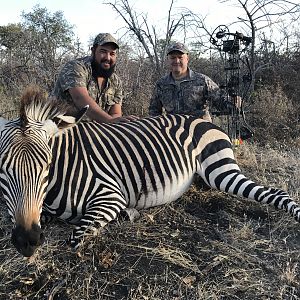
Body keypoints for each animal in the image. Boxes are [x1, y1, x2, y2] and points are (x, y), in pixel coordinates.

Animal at [0, 87, 298, 258]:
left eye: (47, 165)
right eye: (2, 169)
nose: (27, 241)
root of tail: (202, 119)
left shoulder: (110, 196)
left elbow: (74, 239)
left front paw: (125, 216)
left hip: (220, 170)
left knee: (275, 192)